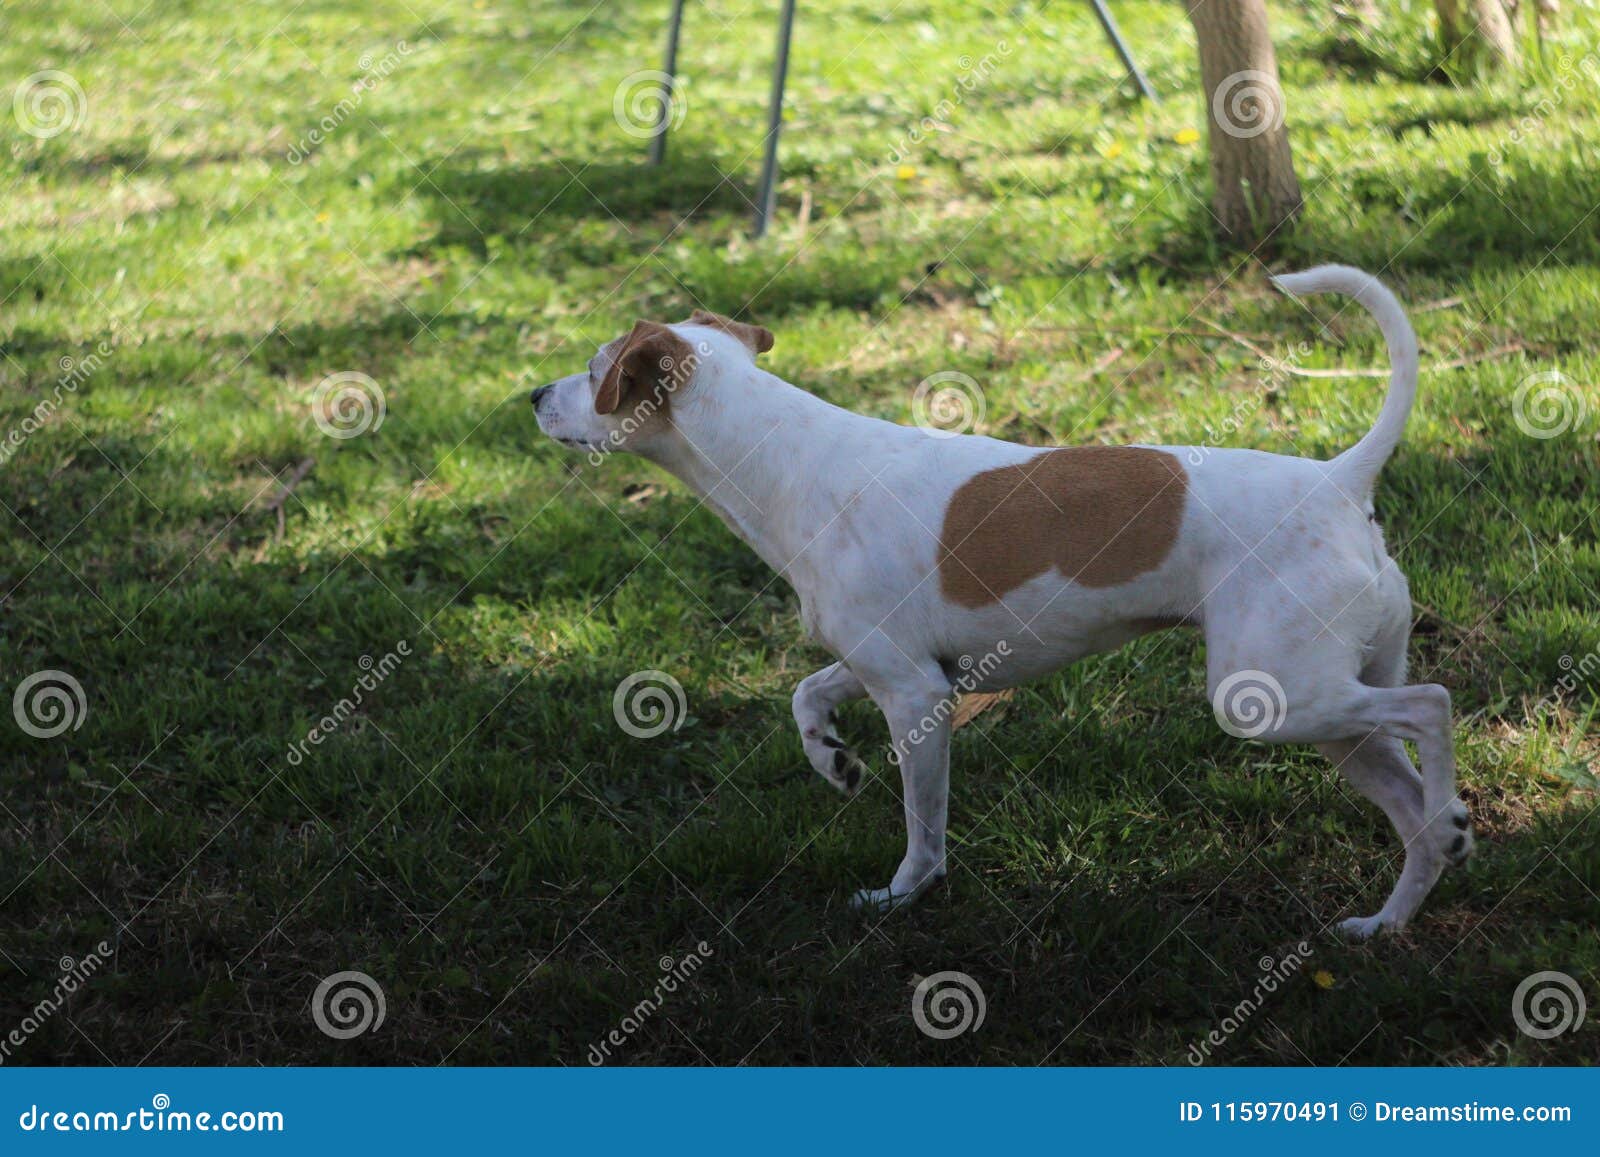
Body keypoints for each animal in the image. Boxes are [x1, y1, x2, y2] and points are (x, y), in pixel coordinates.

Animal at [534, 273, 1472, 940]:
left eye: (596, 372)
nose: (534, 397)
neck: (786, 458)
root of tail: (1340, 480)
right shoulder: (899, 667)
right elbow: (805, 693)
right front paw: (831, 759)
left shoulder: (915, 696)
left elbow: (923, 826)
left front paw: (901, 895)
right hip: (1322, 709)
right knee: (1412, 808)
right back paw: (1394, 912)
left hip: (1267, 698)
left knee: (1431, 706)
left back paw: (1451, 819)